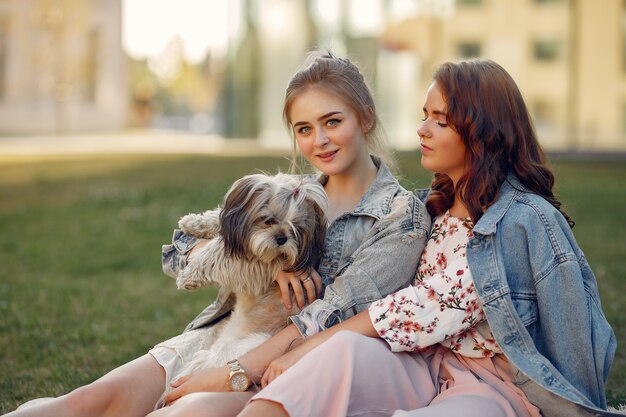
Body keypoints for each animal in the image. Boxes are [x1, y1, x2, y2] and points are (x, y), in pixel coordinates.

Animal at [171, 171, 326, 378]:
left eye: (296, 228)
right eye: (268, 220)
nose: (282, 238)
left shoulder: (255, 262)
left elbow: (216, 252)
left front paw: (188, 276)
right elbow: (219, 219)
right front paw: (194, 222)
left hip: (240, 348)